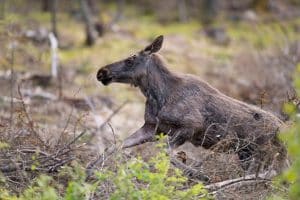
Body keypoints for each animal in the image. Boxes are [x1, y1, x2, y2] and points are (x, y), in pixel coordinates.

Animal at [97, 35, 288, 173]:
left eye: (131, 59)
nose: (101, 72)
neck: (157, 96)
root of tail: (285, 130)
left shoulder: (190, 127)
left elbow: (166, 153)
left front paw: (198, 175)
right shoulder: (152, 128)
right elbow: (114, 146)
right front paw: (93, 170)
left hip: (264, 154)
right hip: (247, 154)